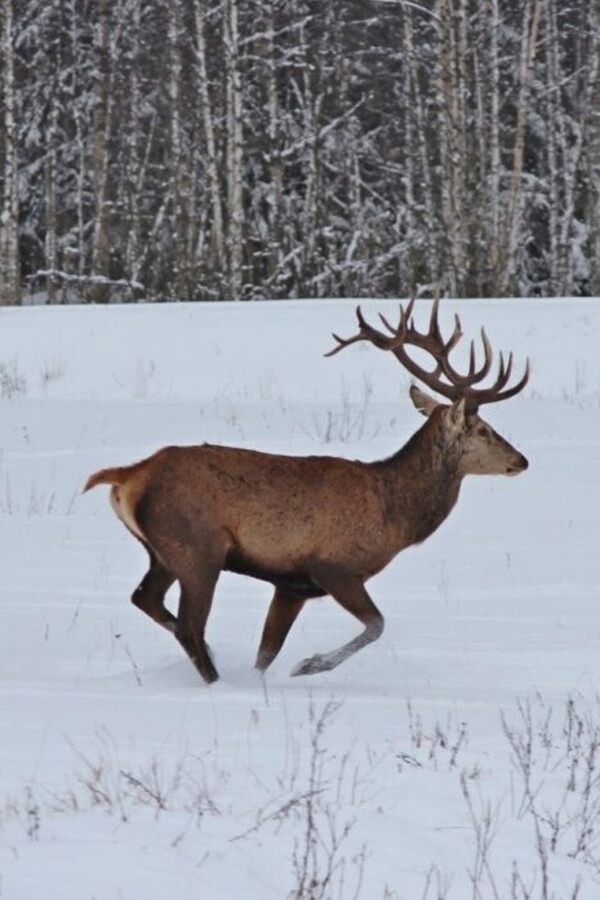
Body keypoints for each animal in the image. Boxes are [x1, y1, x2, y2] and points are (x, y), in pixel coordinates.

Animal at [82, 298, 528, 684]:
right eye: (483, 430)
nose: (521, 460)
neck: (394, 515)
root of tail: (129, 476)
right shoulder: (332, 566)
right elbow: (376, 625)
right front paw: (309, 664)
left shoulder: (291, 584)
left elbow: (267, 652)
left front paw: (263, 678)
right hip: (198, 547)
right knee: (188, 624)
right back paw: (214, 675)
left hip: (163, 551)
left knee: (146, 599)